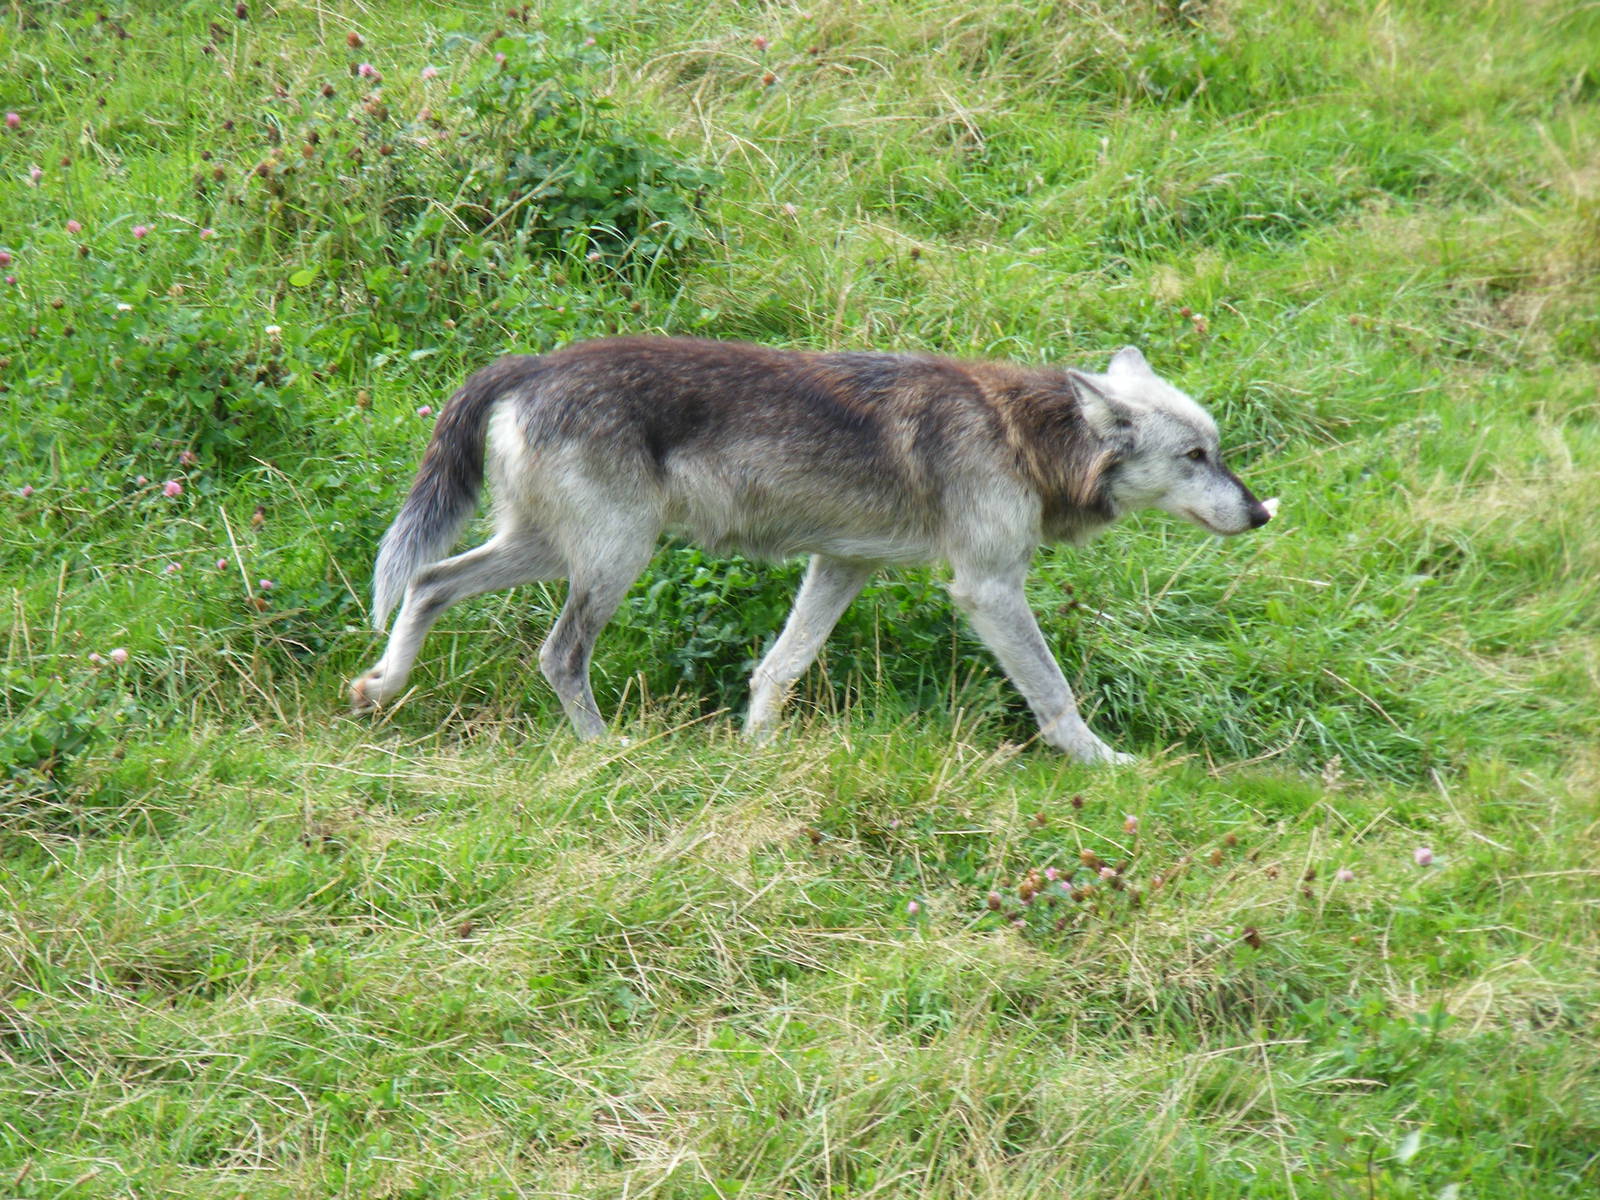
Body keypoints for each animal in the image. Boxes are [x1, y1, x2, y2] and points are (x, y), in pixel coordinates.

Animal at [351, 337, 1274, 763]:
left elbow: (780, 666)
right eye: (1198, 457)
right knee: (558, 653)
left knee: (427, 582)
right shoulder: (986, 590)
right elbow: (1054, 695)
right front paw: (1106, 763)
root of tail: (529, 362)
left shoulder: (843, 564)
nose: (1261, 513)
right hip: (613, 560)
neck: (1026, 438)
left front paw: (755, 751)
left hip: (548, 552)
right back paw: (606, 749)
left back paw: (380, 687)